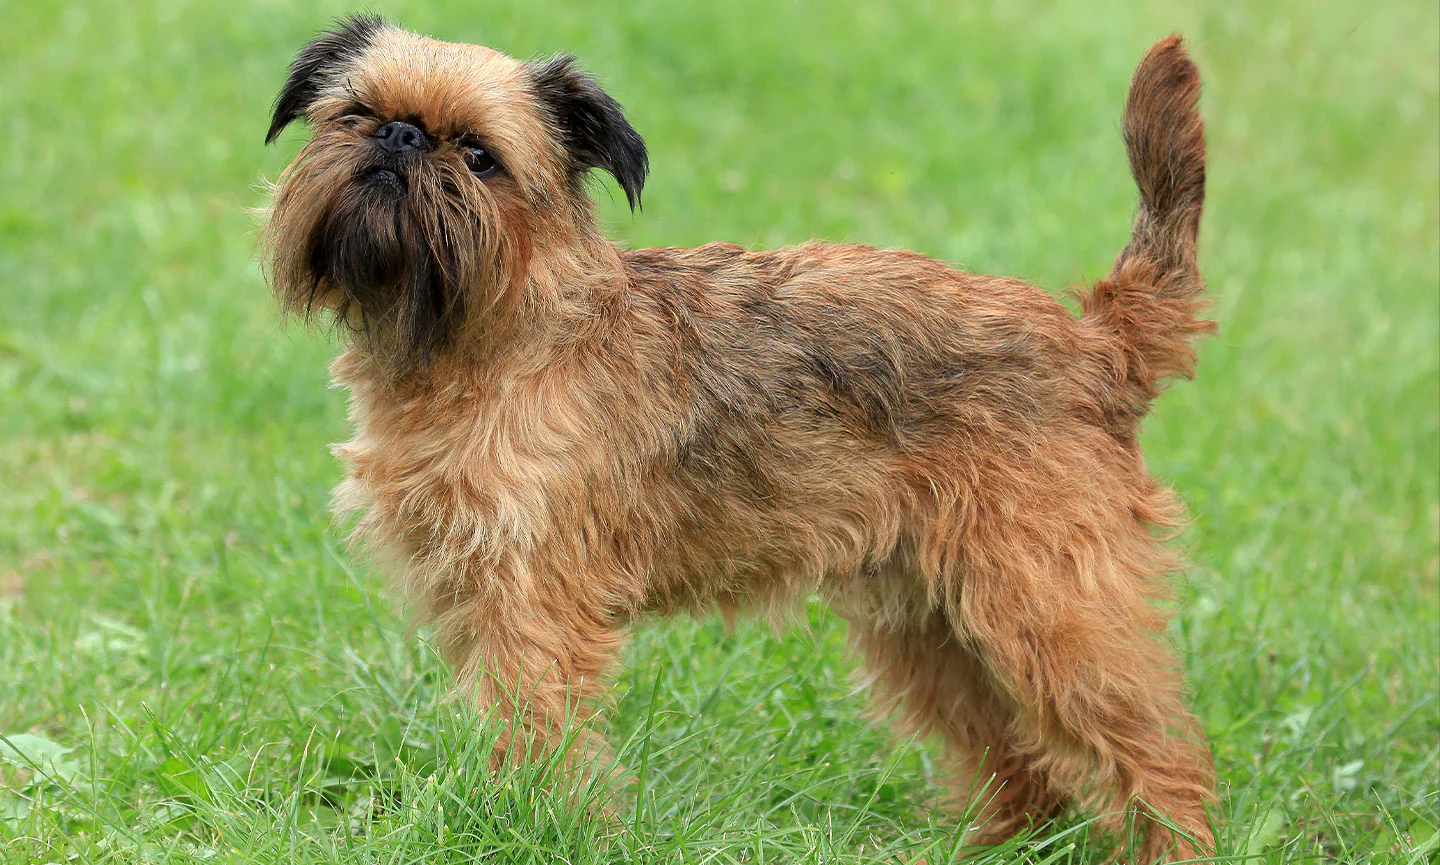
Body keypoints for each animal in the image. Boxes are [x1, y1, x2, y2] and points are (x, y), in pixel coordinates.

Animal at [262, 18, 1215, 857]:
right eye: (353, 114)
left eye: (478, 155)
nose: (399, 138)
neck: (493, 333)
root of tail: (1096, 342)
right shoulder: (474, 592)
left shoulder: (531, 602)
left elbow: (536, 729)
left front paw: (538, 829)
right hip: (932, 621)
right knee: (1020, 758)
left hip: (1049, 609)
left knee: (1157, 755)